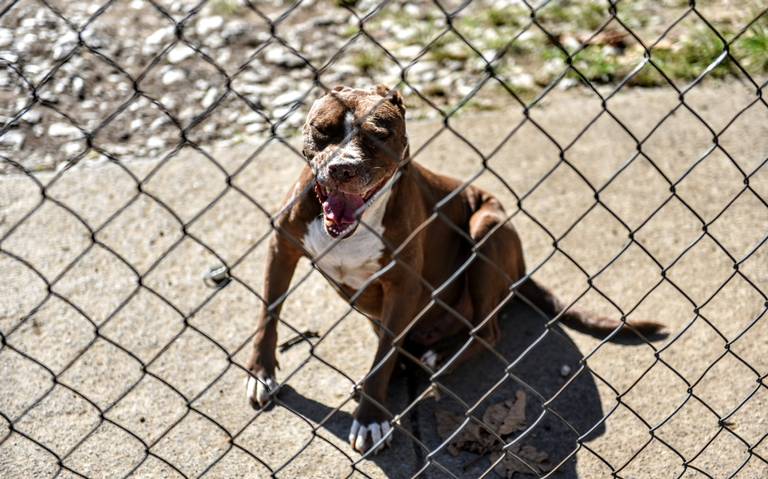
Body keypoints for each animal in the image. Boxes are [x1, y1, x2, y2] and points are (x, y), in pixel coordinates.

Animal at [244, 84, 660, 456]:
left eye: (378, 135)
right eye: (323, 130)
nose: (343, 168)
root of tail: (521, 272)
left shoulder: (403, 285)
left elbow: (384, 355)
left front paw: (371, 418)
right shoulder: (281, 249)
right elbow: (269, 315)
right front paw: (261, 373)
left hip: (486, 230)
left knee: (486, 331)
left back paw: (437, 363)